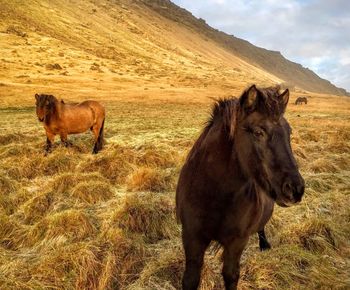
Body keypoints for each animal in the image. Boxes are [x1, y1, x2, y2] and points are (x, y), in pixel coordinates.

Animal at [176, 85, 304, 288]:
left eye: (289, 132)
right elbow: (190, 278)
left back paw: (264, 245)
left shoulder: (236, 243)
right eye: (258, 132)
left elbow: (230, 275)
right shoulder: (192, 238)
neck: (214, 194)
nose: (295, 189)